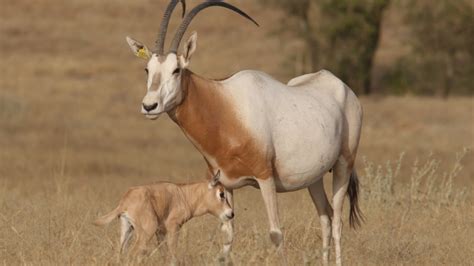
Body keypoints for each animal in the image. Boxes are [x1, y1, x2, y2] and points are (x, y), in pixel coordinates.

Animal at [93, 171, 232, 260]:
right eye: (221, 193)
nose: (231, 213)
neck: (184, 194)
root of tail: (125, 200)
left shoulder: (160, 232)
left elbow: (164, 252)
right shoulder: (174, 227)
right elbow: (172, 251)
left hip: (128, 229)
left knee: (121, 252)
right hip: (147, 230)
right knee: (133, 252)